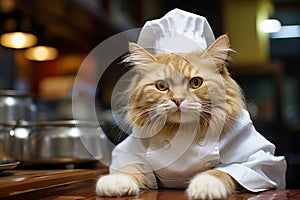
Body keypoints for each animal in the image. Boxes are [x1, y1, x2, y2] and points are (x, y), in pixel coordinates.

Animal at [96, 35, 286, 199]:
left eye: (196, 83)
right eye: (161, 86)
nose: (177, 100)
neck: (181, 133)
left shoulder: (257, 161)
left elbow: (221, 172)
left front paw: (206, 185)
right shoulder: (132, 152)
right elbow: (130, 168)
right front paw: (114, 182)